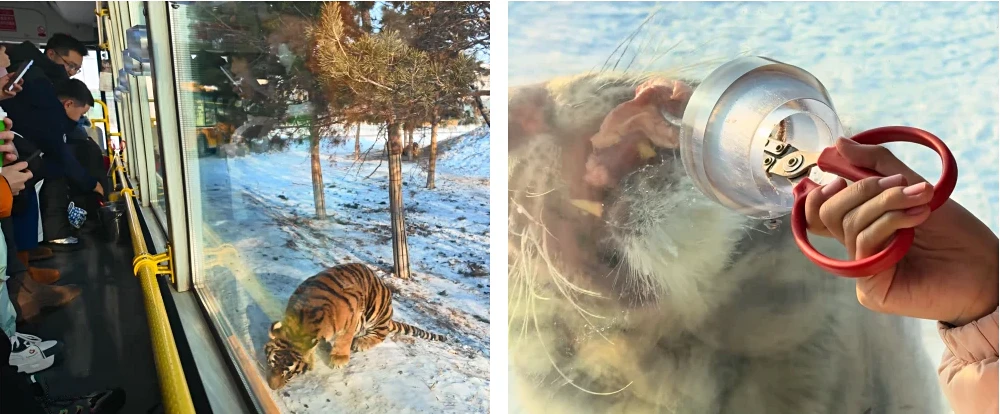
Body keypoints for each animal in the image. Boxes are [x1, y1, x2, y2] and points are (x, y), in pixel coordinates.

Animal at [264, 263, 446, 390]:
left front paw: (339, 359)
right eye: (271, 364)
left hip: (376, 309)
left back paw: (361, 342)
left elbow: (344, 339)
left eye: (290, 373)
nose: (272, 387)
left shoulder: (352, 315)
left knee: (382, 333)